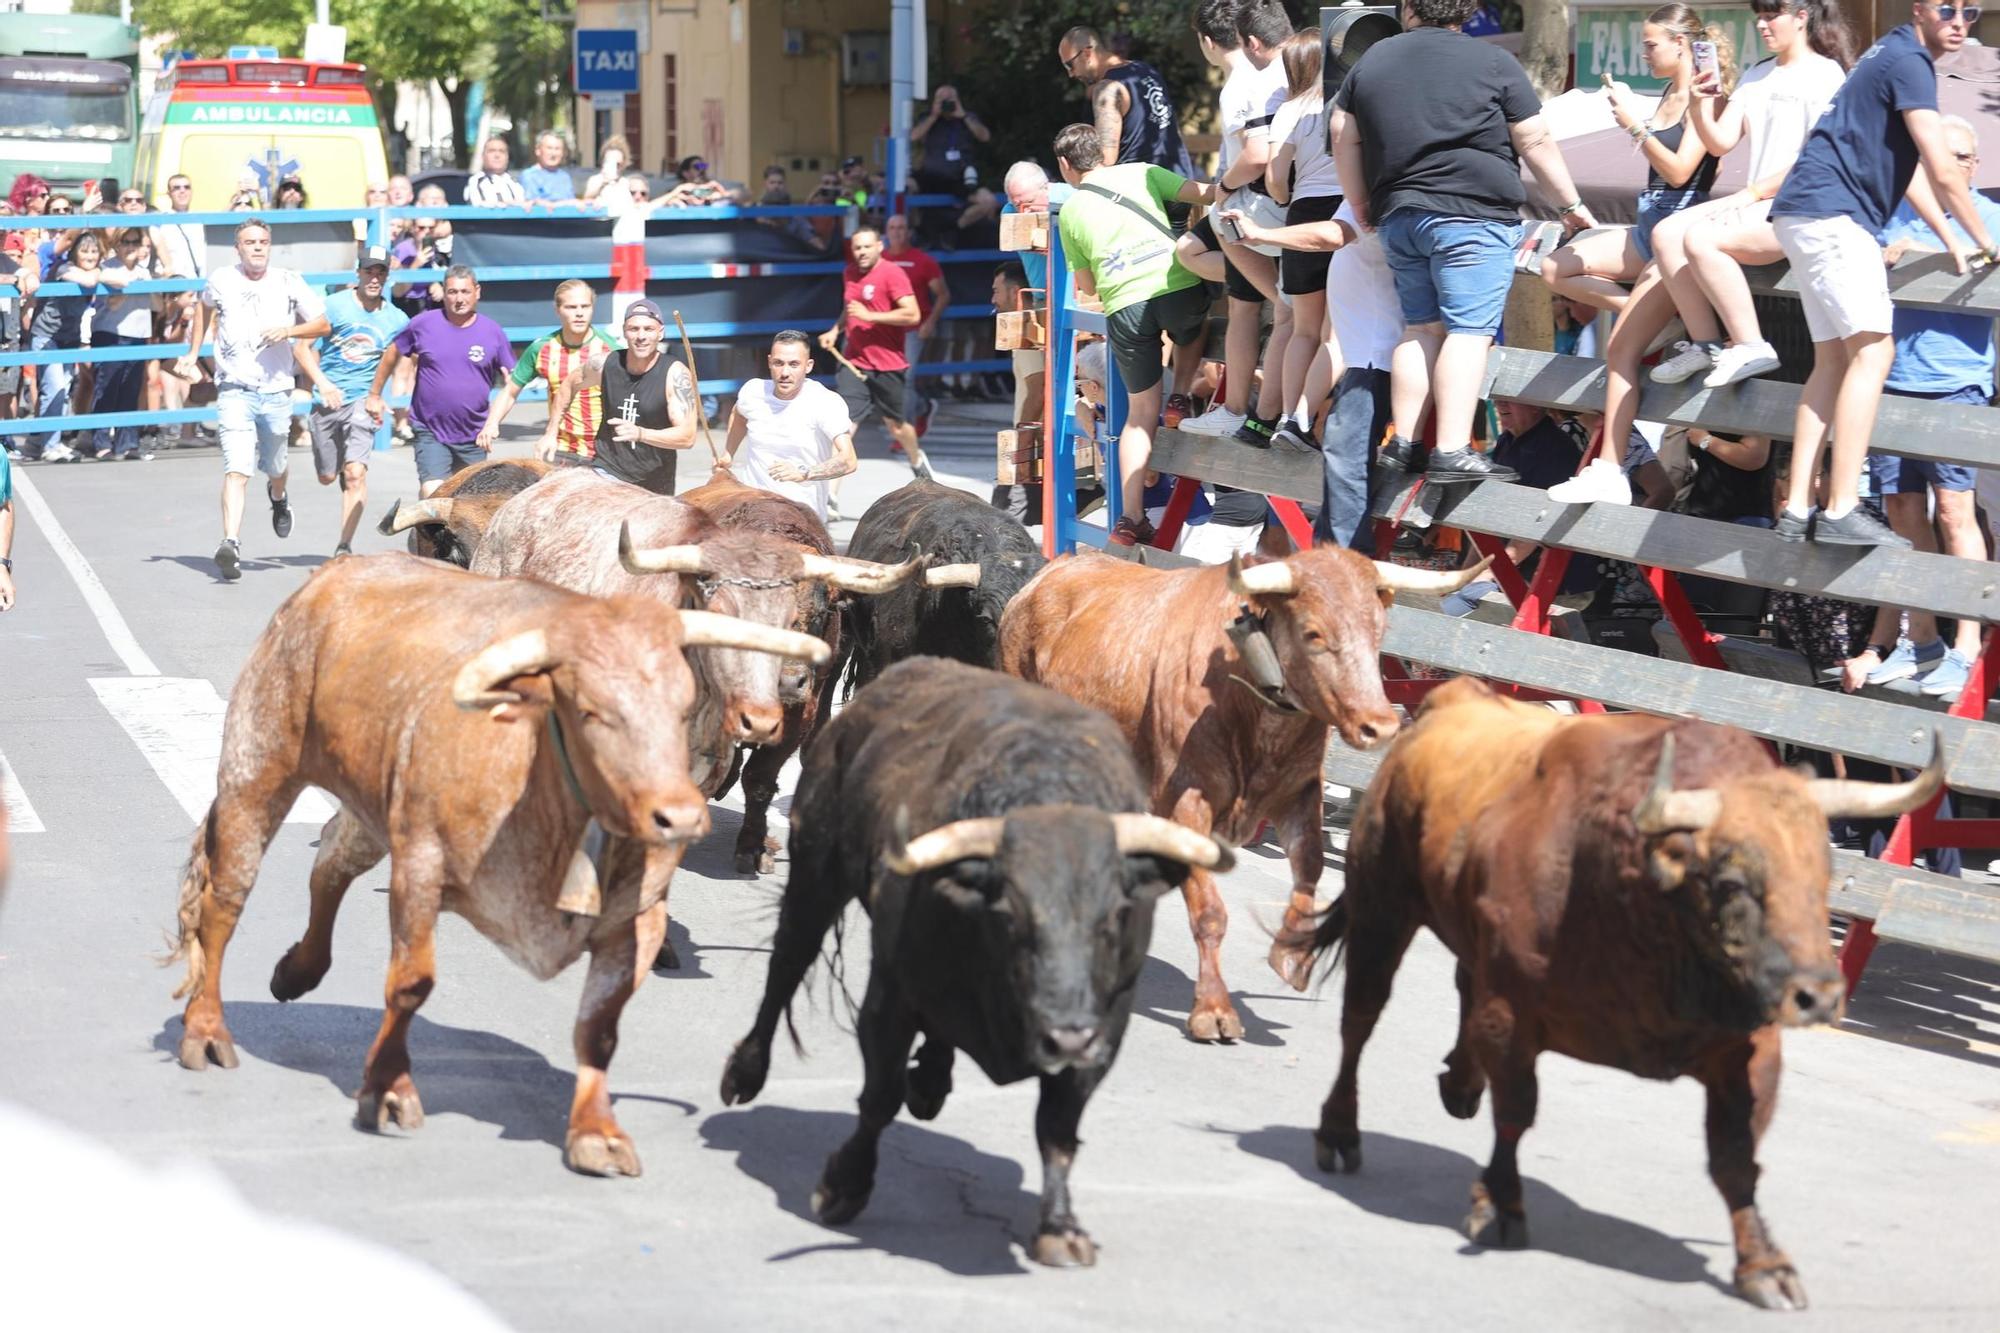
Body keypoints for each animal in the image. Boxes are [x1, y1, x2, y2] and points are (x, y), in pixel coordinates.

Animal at [170, 548, 828, 1176]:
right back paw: (205, 1030)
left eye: (682, 705)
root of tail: (331, 577)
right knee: (224, 901)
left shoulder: (636, 919)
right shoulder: (420, 869)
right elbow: (409, 986)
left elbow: (600, 1026)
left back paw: (297, 971)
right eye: (590, 709)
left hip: (373, 803)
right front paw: (388, 1088)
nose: (680, 817)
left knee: (331, 860)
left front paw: (596, 1132)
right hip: (256, 773)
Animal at [1000, 544, 1488, 1032]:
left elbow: (1310, 867)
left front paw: (1291, 954)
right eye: (1313, 633)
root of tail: (1054, 570)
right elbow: (1210, 912)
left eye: (1378, 630)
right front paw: (1213, 1008)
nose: (1382, 726)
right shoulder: (1183, 803)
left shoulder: (1298, 794)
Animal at [1304, 680, 1944, 1304]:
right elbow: (1515, 1114)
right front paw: (1500, 1204)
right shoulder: (1511, 1014)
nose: (1818, 996)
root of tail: (1447, 701)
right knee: (1359, 1021)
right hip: (1382, 908)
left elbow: (1736, 1158)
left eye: (1823, 875)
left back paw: (1460, 1085)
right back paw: (1338, 1131)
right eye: (1731, 881)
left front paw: (1764, 1263)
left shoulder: (1751, 1046)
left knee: (1461, 983)